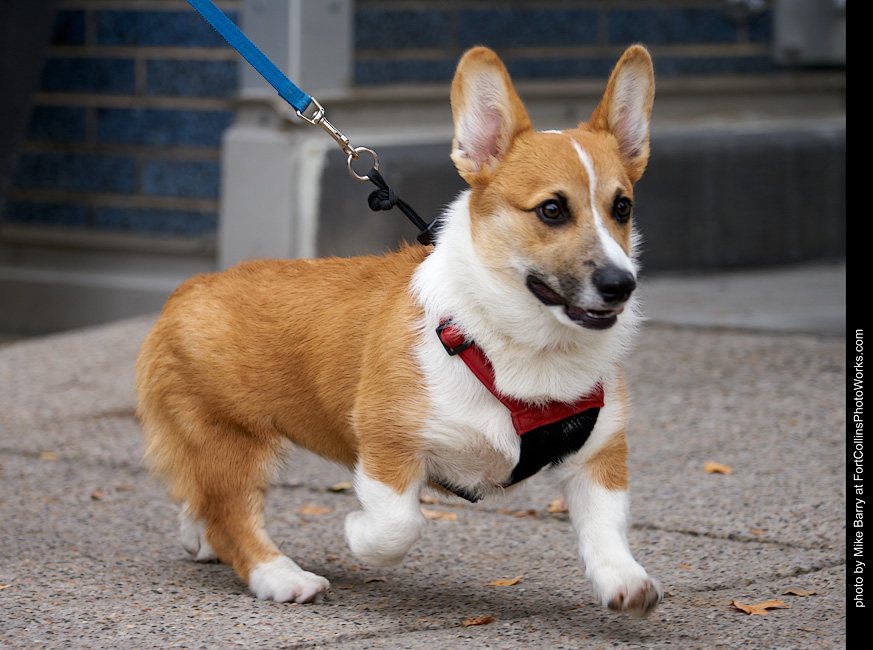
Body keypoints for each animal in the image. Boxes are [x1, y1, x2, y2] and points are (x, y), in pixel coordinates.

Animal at [135, 44, 661, 617]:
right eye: (551, 209)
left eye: (622, 207)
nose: (621, 285)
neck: (519, 346)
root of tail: (190, 288)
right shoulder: (388, 444)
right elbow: (397, 525)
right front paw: (356, 533)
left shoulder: (599, 455)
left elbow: (607, 527)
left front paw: (625, 582)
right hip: (232, 437)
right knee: (232, 515)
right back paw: (282, 576)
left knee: (204, 500)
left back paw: (200, 537)